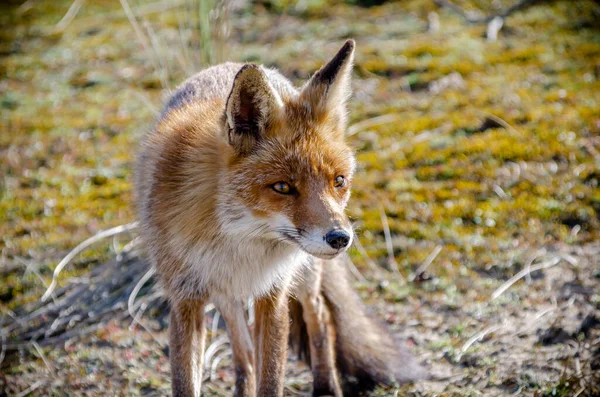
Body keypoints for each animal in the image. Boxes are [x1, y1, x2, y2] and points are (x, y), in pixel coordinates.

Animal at [136, 41, 426, 396]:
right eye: (283, 187)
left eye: (339, 181)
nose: (341, 238)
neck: (235, 239)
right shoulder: (185, 299)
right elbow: (187, 381)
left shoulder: (273, 295)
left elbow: (272, 377)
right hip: (225, 295)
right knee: (244, 351)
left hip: (305, 277)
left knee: (321, 318)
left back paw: (326, 386)